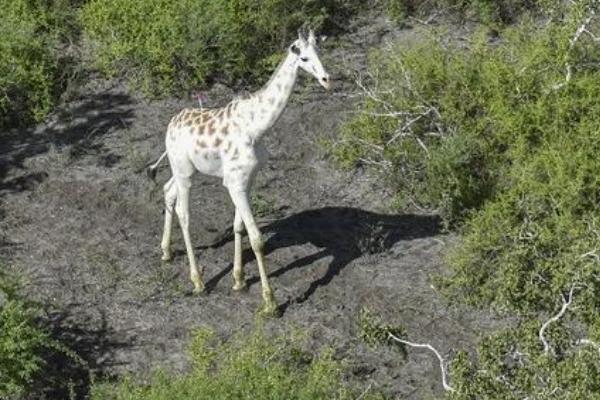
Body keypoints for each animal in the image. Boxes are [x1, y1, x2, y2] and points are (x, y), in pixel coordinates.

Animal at [147, 30, 330, 316]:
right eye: (303, 57)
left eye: (320, 52)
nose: (326, 80)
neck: (256, 127)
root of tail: (170, 125)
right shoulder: (235, 182)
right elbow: (256, 239)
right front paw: (270, 303)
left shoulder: (247, 180)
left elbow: (238, 227)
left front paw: (239, 280)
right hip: (184, 172)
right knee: (184, 213)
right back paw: (198, 281)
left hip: (186, 169)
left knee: (168, 191)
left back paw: (166, 251)